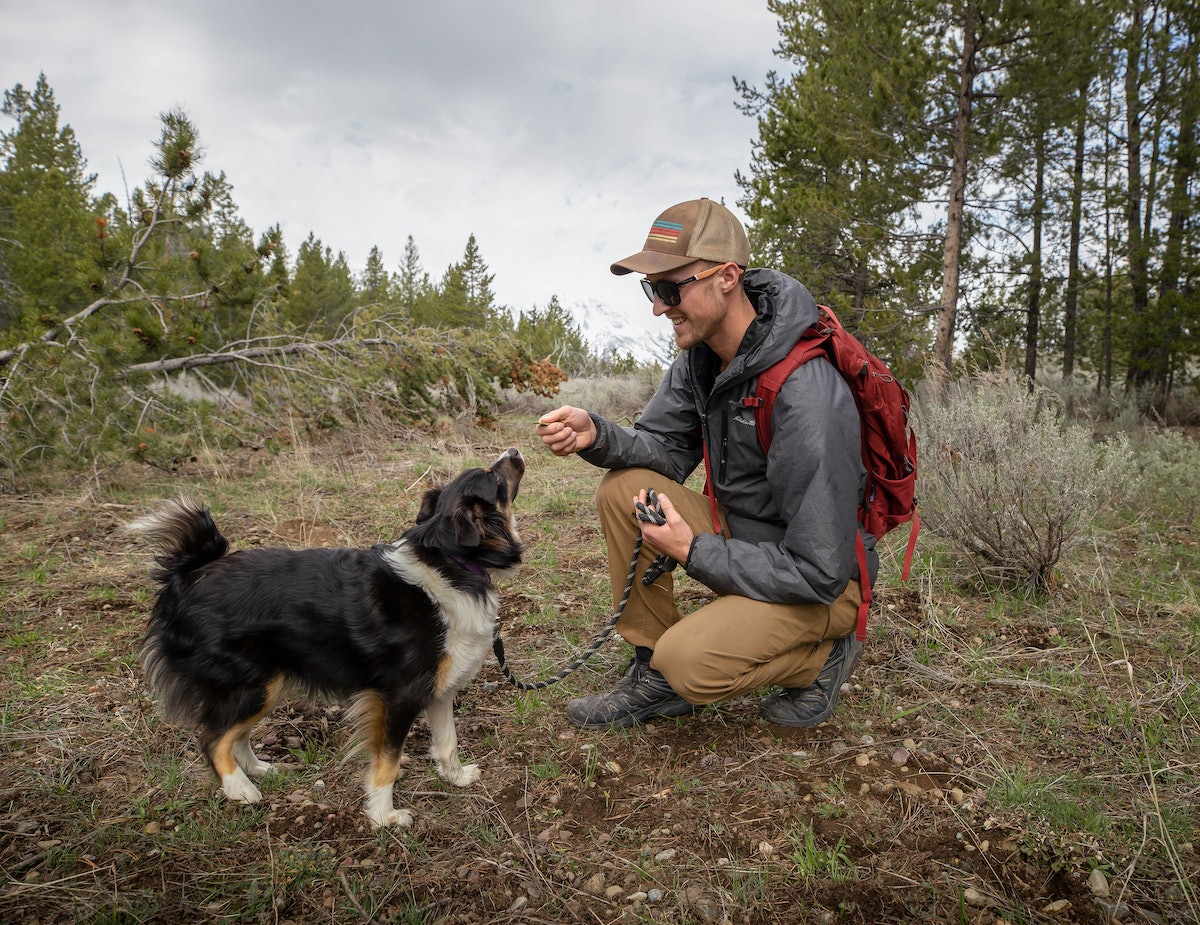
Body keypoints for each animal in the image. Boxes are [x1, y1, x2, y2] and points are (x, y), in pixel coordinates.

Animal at [130, 446, 525, 825]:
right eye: (492, 476)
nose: (514, 451)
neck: (450, 561)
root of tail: (189, 577)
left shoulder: (439, 688)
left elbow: (447, 743)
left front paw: (455, 778)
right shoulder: (400, 697)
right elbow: (388, 761)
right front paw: (383, 815)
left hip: (268, 682)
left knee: (234, 735)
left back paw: (259, 769)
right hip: (251, 685)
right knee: (212, 738)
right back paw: (239, 788)